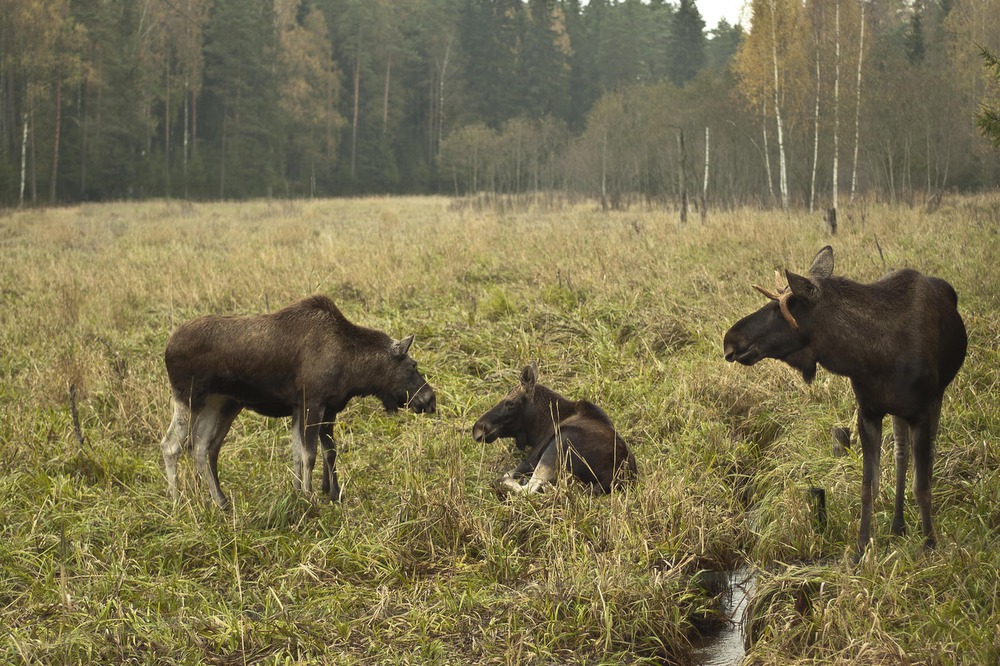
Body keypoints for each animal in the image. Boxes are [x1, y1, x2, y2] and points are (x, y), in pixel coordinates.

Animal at [159, 294, 434, 506]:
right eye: (412, 365)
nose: (430, 399)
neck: (354, 367)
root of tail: (167, 347)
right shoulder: (314, 402)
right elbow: (310, 454)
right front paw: (310, 496)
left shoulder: (313, 408)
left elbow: (312, 454)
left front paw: (318, 493)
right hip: (188, 399)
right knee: (171, 445)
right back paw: (177, 502)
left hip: (218, 405)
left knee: (201, 448)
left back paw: (220, 501)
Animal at [472, 364, 636, 492]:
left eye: (510, 403)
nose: (477, 428)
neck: (539, 429)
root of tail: (610, 477)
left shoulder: (531, 459)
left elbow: (503, 476)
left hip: (556, 448)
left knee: (528, 489)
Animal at [724, 246, 964, 552]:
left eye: (779, 310)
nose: (729, 339)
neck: (871, 356)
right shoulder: (868, 412)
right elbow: (868, 486)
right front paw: (860, 549)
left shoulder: (921, 409)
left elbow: (921, 485)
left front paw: (929, 544)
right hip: (898, 412)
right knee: (901, 454)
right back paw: (897, 526)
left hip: (935, 397)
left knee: (924, 455)